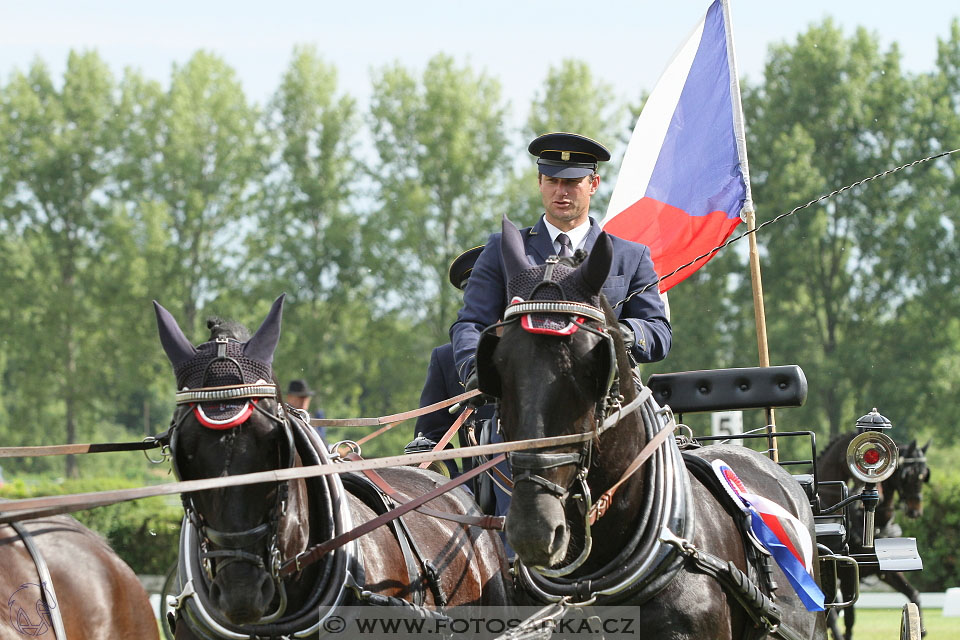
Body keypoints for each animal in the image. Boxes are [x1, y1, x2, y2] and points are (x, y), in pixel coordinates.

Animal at [816, 432, 928, 636]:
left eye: (923, 475)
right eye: (907, 475)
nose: (915, 510)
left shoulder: (885, 569)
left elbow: (913, 593)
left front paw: (920, 629)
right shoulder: (846, 571)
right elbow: (847, 617)